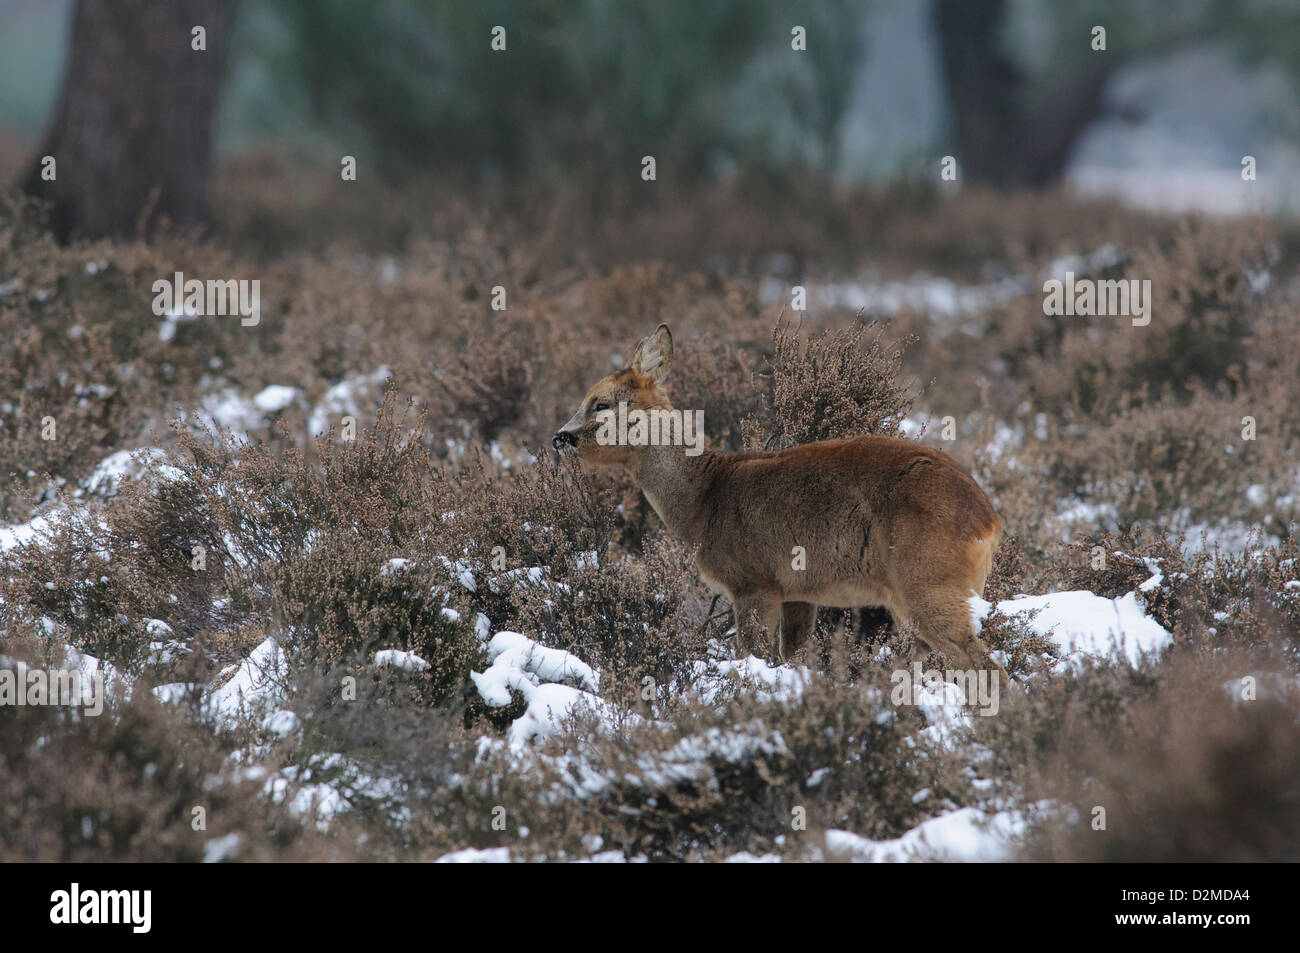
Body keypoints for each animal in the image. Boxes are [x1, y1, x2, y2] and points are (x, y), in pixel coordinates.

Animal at [552, 324, 1009, 688]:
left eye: (600, 403)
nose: (560, 437)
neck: (704, 497)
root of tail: (989, 523)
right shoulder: (798, 591)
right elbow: (795, 658)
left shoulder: (752, 582)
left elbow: (752, 656)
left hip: (928, 581)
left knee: (986, 666)